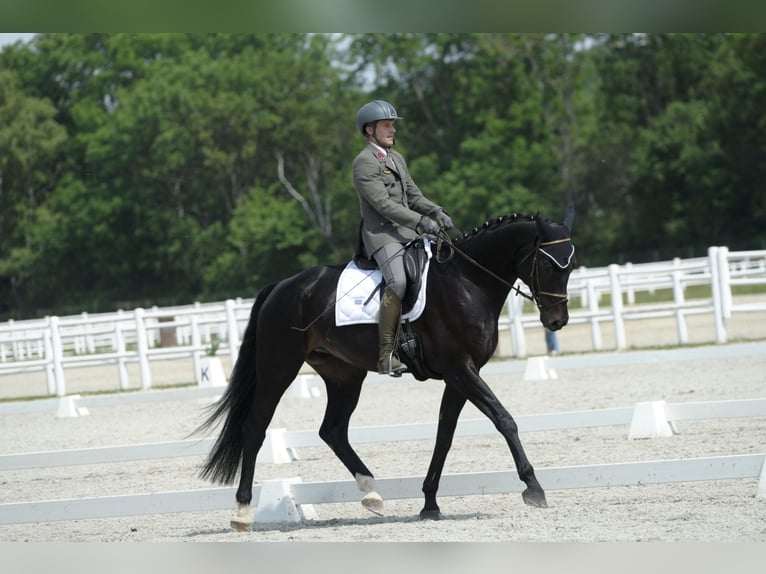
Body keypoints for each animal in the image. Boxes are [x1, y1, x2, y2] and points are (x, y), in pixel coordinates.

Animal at [198, 206, 576, 532]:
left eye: (571, 267)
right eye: (549, 266)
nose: (557, 322)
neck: (468, 281)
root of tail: (282, 286)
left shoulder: (459, 377)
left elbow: (445, 435)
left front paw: (429, 503)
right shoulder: (461, 370)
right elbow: (504, 419)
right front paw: (533, 487)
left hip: (344, 375)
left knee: (332, 431)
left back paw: (372, 494)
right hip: (279, 367)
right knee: (255, 427)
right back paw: (242, 512)